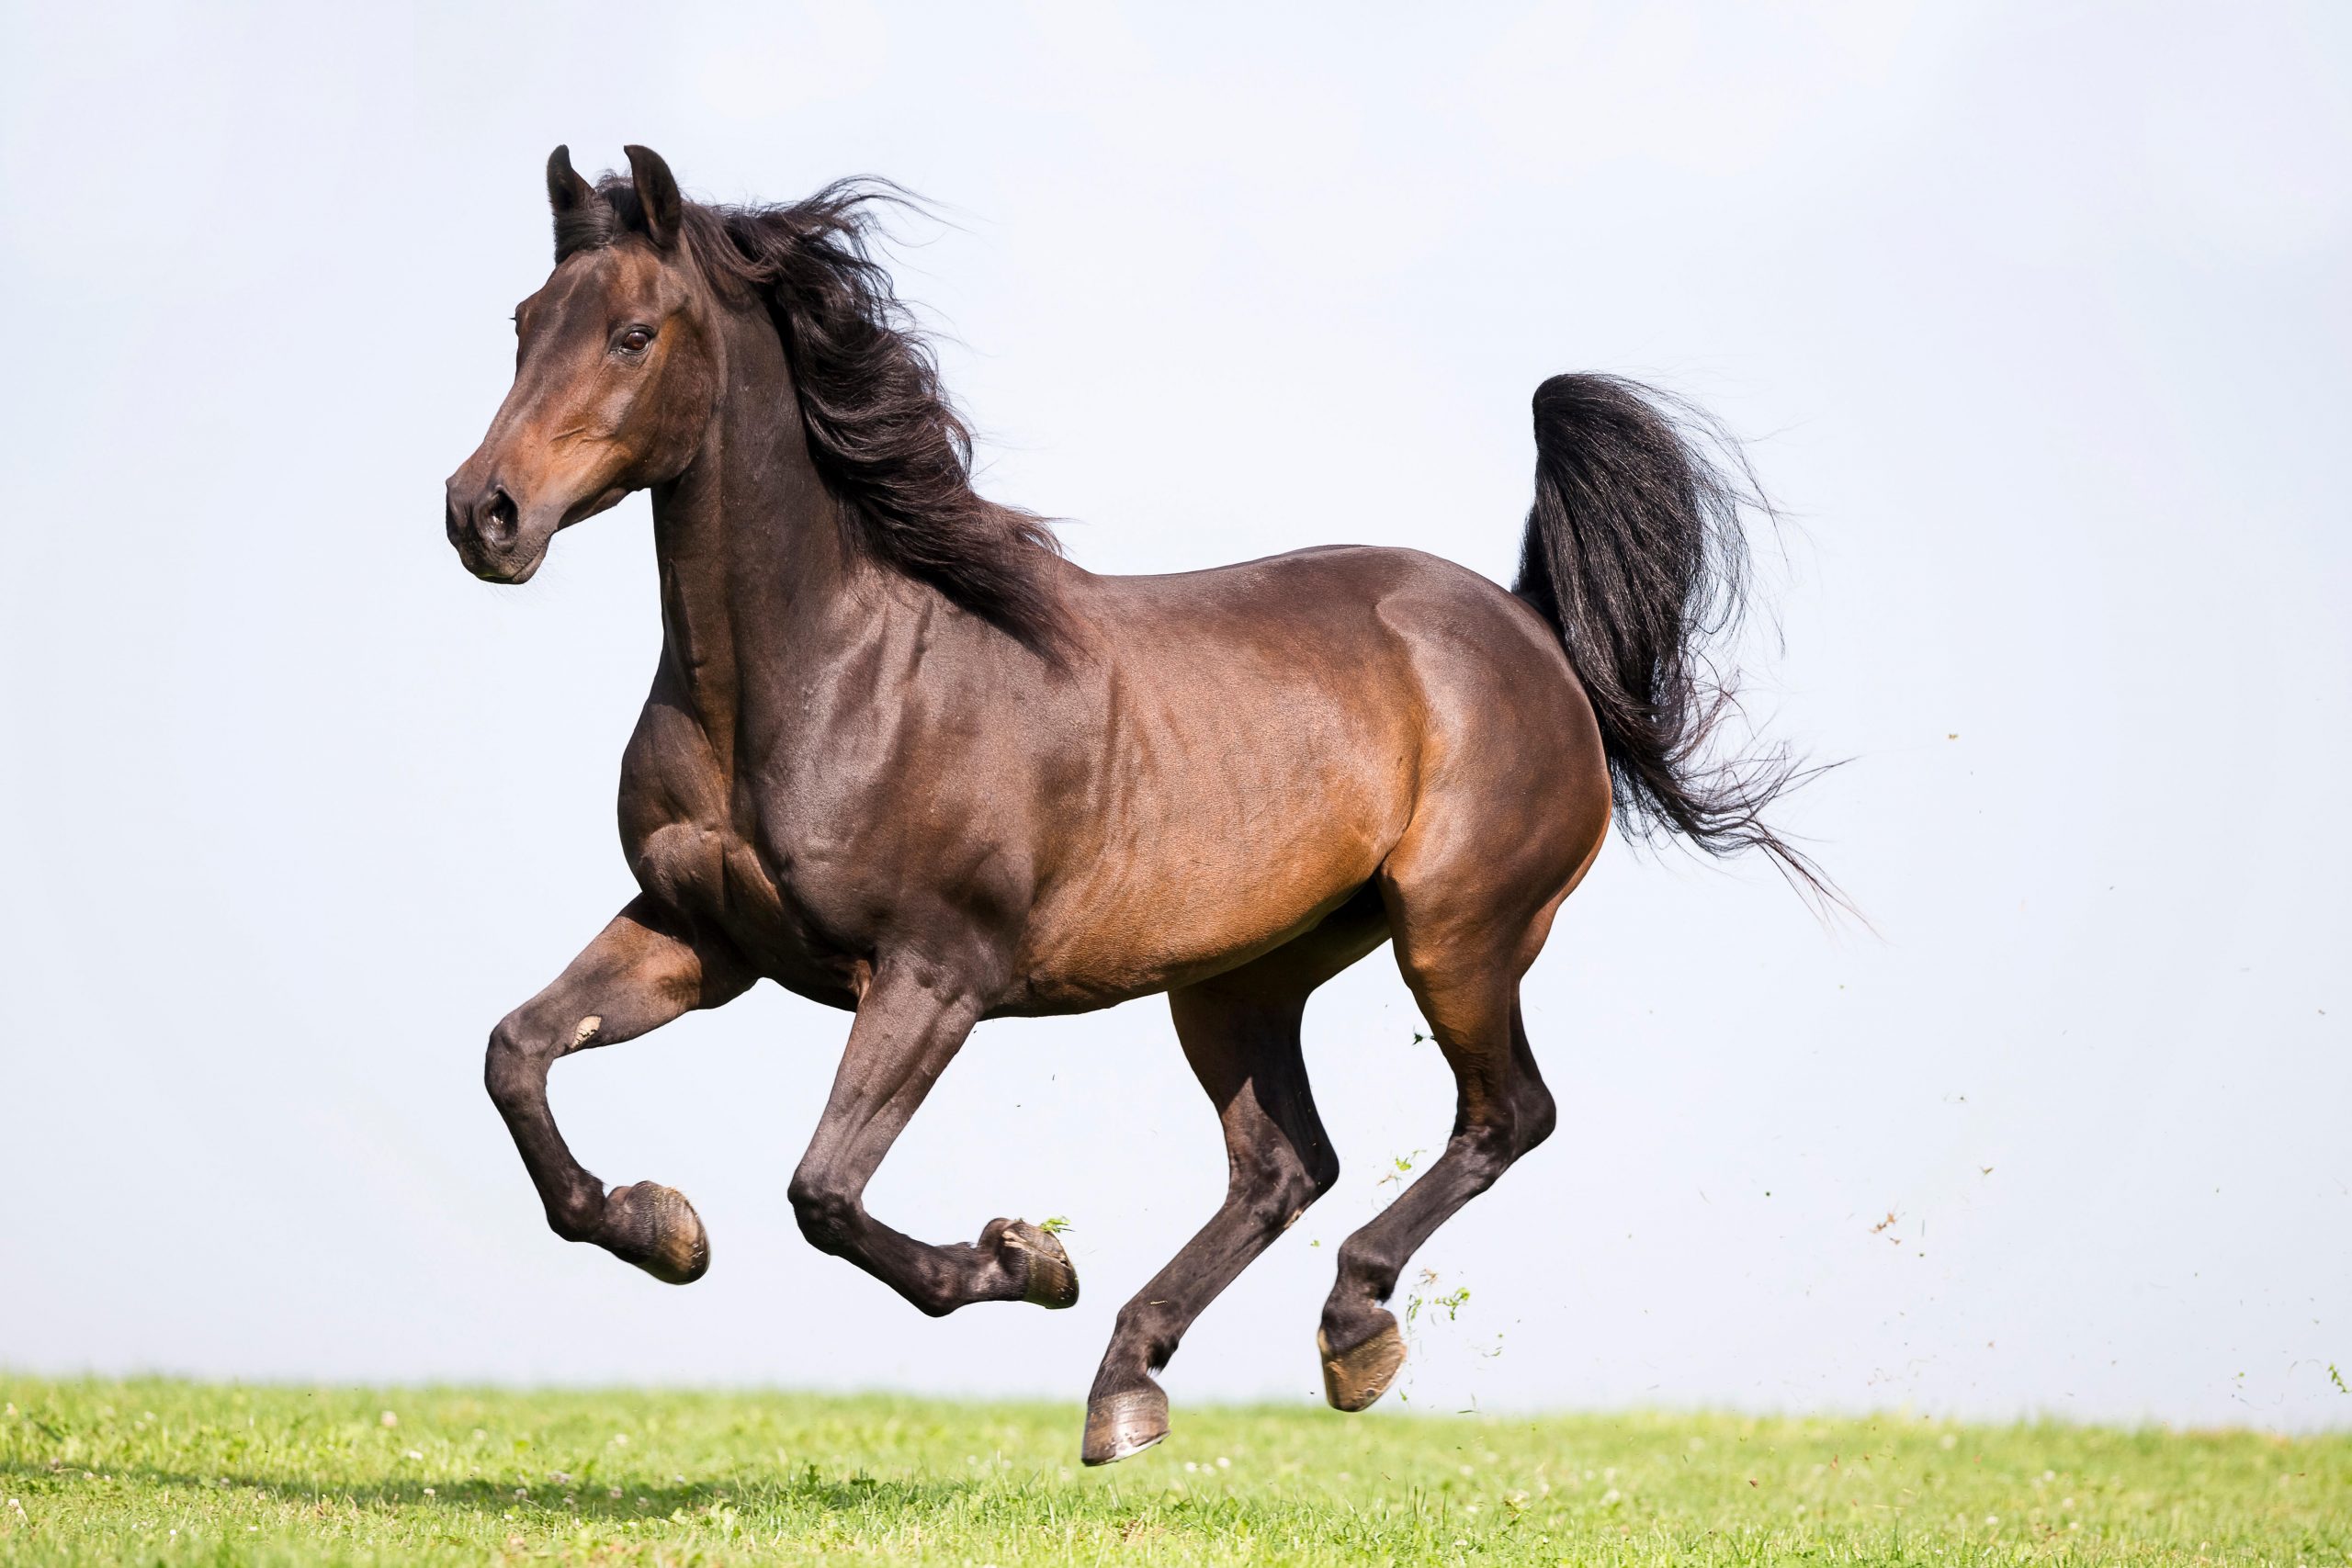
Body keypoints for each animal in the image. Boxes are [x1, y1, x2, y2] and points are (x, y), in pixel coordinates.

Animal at [445, 145, 1825, 1466]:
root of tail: (1534, 631)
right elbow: (517, 1053)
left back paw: (1349, 1327)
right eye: (523, 320)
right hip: (1240, 976)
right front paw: (660, 1224)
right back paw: (1129, 1383)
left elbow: (824, 1190)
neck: (836, 670)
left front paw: (1024, 1255)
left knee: (1503, 1116)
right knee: (1284, 1165)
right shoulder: (702, 934)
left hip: (1456, 932)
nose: (482, 512)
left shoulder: (935, 971)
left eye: (633, 333)